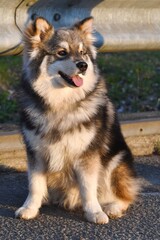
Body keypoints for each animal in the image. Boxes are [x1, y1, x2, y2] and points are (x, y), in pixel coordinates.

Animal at [15, 16, 140, 223]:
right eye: (62, 53)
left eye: (82, 53)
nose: (83, 65)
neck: (61, 103)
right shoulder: (35, 153)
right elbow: (35, 185)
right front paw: (30, 208)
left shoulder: (87, 156)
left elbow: (88, 188)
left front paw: (94, 212)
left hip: (115, 162)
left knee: (125, 195)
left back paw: (112, 207)